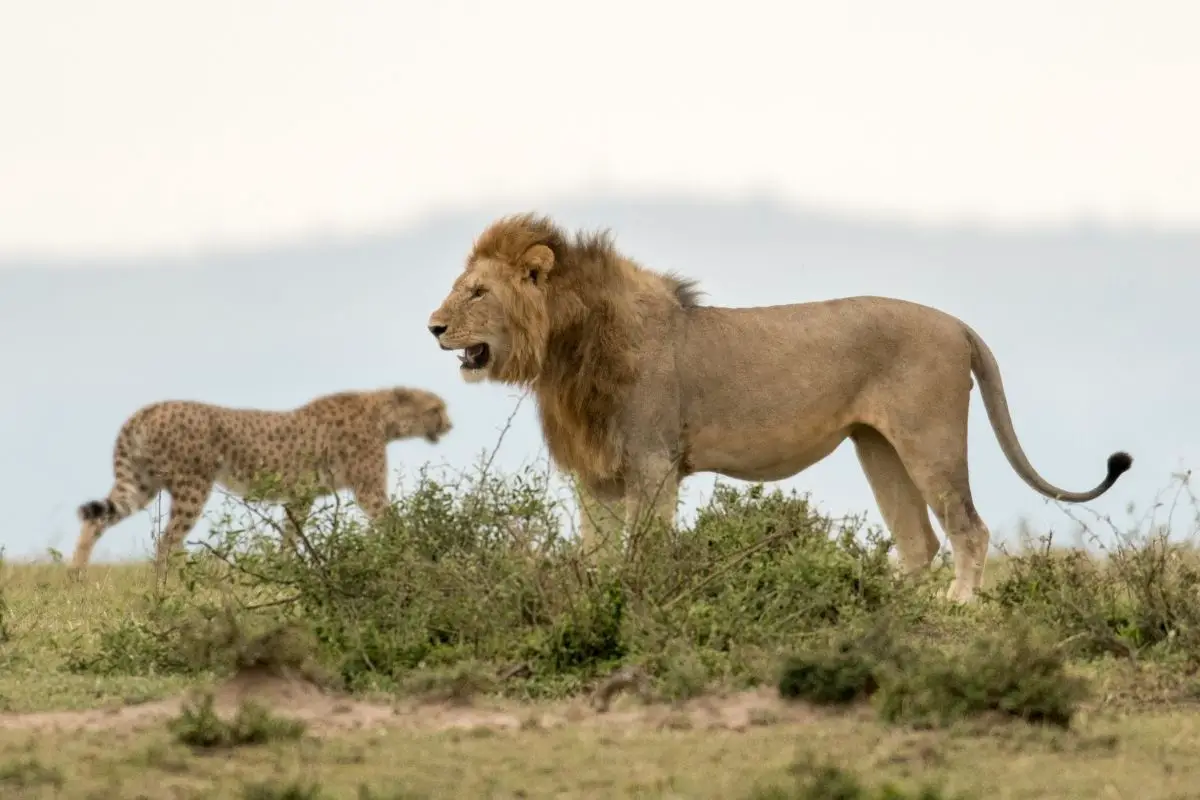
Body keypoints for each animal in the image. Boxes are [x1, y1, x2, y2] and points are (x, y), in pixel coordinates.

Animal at [71, 386, 453, 582]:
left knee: (97, 518)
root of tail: (148, 408)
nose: (450, 425)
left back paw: (76, 575)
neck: (382, 415)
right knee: (166, 540)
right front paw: (416, 555)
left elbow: (290, 534)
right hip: (193, 486)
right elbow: (393, 523)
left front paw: (284, 568)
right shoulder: (368, 490)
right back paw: (173, 582)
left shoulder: (301, 495)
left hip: (141, 484)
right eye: (436, 408)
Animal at [429, 215, 1132, 604]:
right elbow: (595, 551)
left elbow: (645, 550)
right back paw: (875, 603)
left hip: (928, 438)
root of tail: (959, 324)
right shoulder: (597, 474)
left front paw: (637, 599)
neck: (565, 351)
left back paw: (956, 605)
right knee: (918, 541)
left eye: (477, 292)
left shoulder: (654, 463)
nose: (433, 327)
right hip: (877, 446)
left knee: (967, 528)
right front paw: (593, 596)